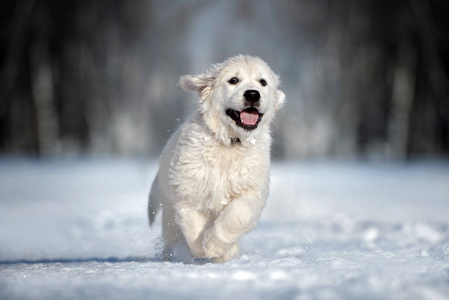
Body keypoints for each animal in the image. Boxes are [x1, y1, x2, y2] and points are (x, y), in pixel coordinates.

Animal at [149, 54, 286, 262]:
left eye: (263, 82)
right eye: (233, 80)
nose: (253, 94)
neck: (229, 143)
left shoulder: (252, 191)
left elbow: (236, 215)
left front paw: (214, 245)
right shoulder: (188, 189)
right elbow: (192, 224)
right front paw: (201, 247)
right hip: (169, 213)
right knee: (172, 237)